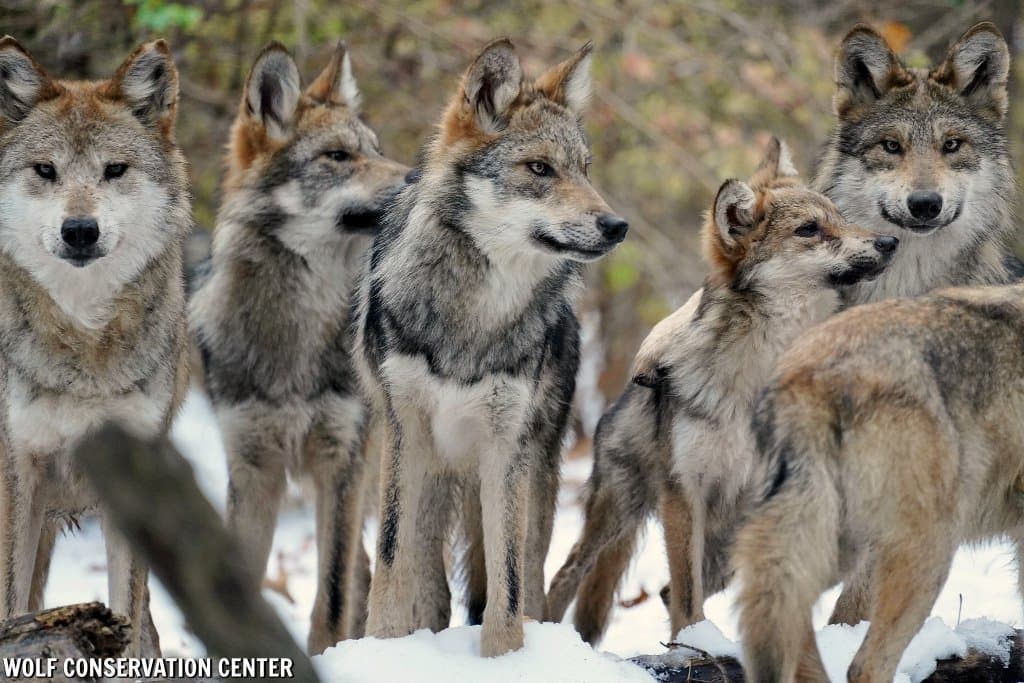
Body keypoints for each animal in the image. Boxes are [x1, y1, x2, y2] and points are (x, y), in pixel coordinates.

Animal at [0, 37, 190, 656]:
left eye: (114, 171)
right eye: (46, 171)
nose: (80, 230)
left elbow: (127, 613)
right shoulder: (19, 473)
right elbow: (10, 601)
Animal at [189, 41, 408, 654]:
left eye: (377, 150)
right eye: (337, 156)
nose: (417, 179)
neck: (296, 336)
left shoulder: (341, 465)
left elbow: (330, 598)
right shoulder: (252, 468)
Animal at [355, 38, 627, 657]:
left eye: (584, 169)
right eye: (540, 169)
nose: (616, 225)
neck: (476, 316)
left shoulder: (507, 448)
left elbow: (507, 581)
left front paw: (505, 657)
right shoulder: (405, 435)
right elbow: (390, 561)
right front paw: (381, 646)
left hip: (537, 473)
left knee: (530, 574)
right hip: (426, 479)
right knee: (428, 587)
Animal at [546, 139, 897, 644]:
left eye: (842, 218)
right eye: (810, 229)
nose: (890, 241)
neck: (759, 372)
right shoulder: (684, 492)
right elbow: (687, 594)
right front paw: (690, 643)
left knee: (669, 589)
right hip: (617, 512)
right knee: (568, 575)